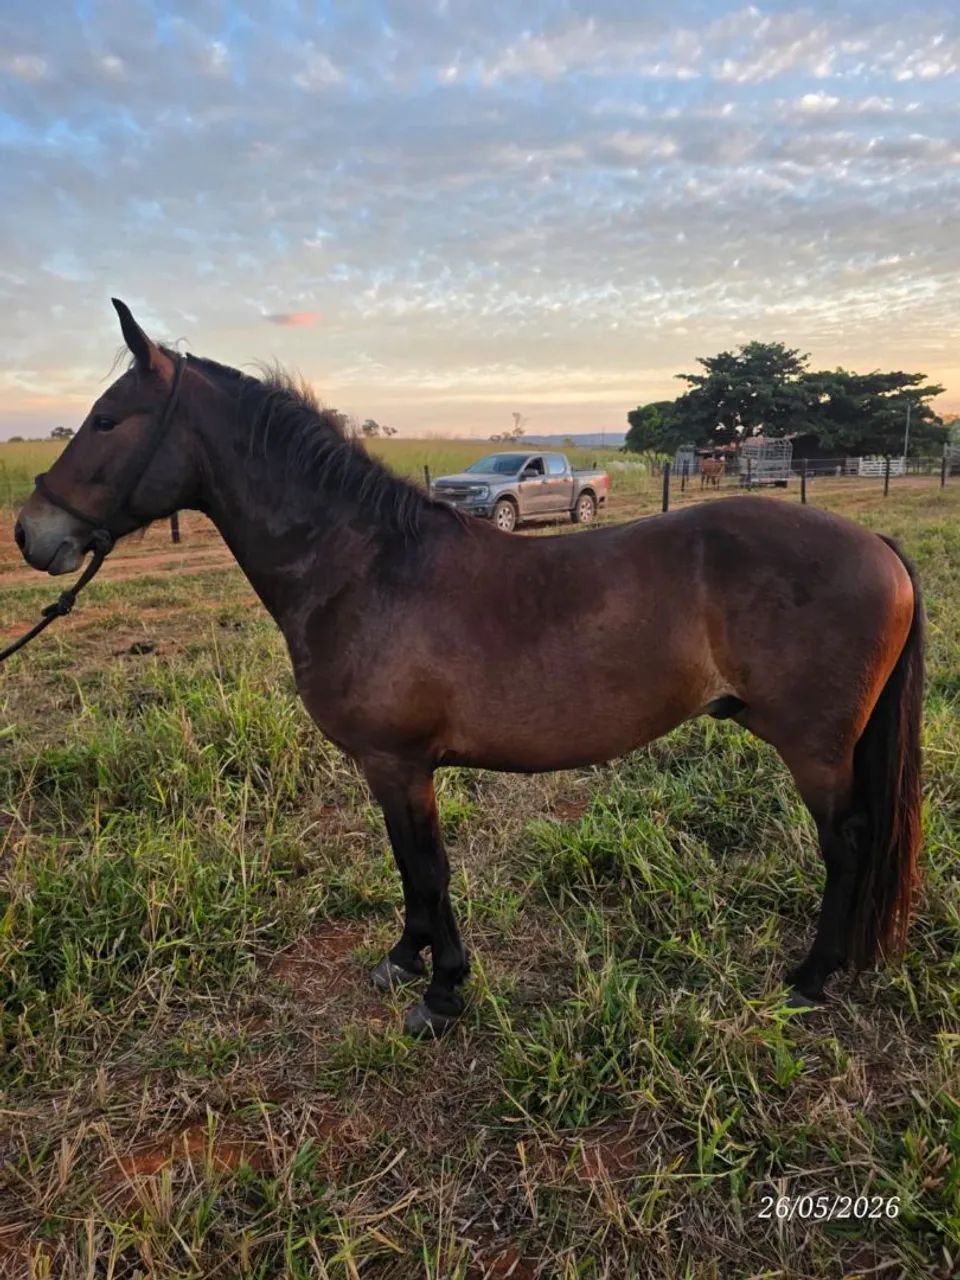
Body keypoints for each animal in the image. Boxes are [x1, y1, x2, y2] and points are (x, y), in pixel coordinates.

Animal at [13, 301, 923, 1037]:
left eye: (108, 420)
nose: (30, 533)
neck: (364, 566)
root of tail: (878, 544)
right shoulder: (388, 768)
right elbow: (408, 867)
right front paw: (406, 957)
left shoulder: (398, 762)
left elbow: (427, 866)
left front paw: (444, 991)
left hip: (814, 749)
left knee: (847, 843)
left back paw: (811, 978)